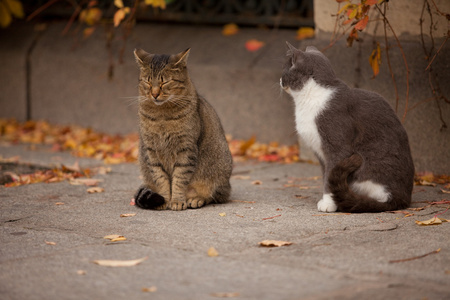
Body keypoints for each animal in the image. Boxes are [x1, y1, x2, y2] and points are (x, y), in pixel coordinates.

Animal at [132, 48, 232, 210]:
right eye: (148, 81)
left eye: (165, 81)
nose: (154, 94)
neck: (162, 116)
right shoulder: (151, 150)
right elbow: (161, 178)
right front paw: (165, 199)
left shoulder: (186, 148)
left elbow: (179, 178)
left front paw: (177, 200)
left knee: (215, 196)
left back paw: (196, 198)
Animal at [282, 42, 414, 213]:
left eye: (286, 69)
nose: (280, 80)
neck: (309, 98)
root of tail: (404, 197)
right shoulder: (320, 153)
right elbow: (326, 175)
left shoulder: (337, 148)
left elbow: (330, 175)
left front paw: (329, 204)